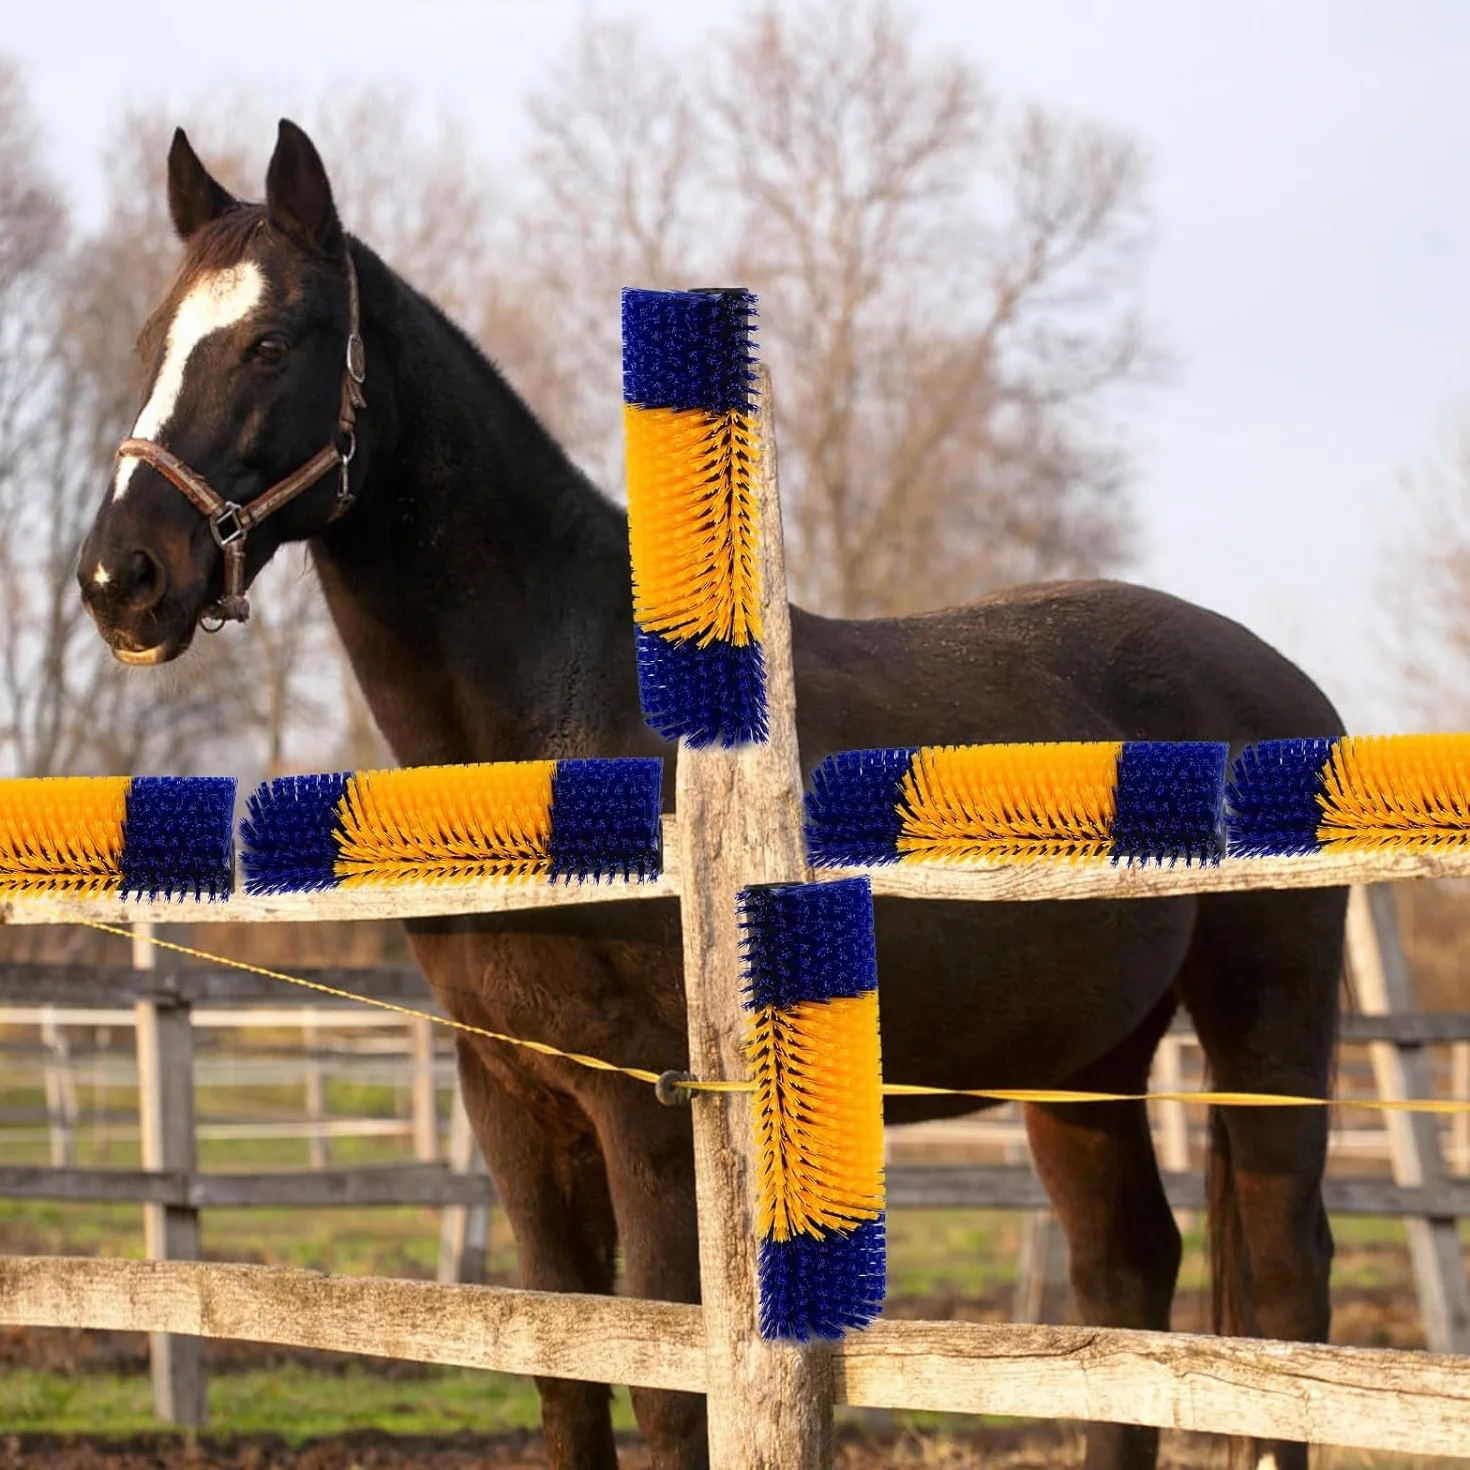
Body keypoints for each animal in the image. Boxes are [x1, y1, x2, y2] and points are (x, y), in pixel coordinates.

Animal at [78, 119, 1344, 1470]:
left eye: (271, 340)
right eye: (152, 340)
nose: (122, 580)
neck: (570, 717)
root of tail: (1290, 686)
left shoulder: (648, 1112)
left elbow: (666, 1388)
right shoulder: (512, 1102)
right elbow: (565, 1376)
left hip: (1263, 1027)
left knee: (1284, 1286)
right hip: (1088, 1063)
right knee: (1125, 1275)